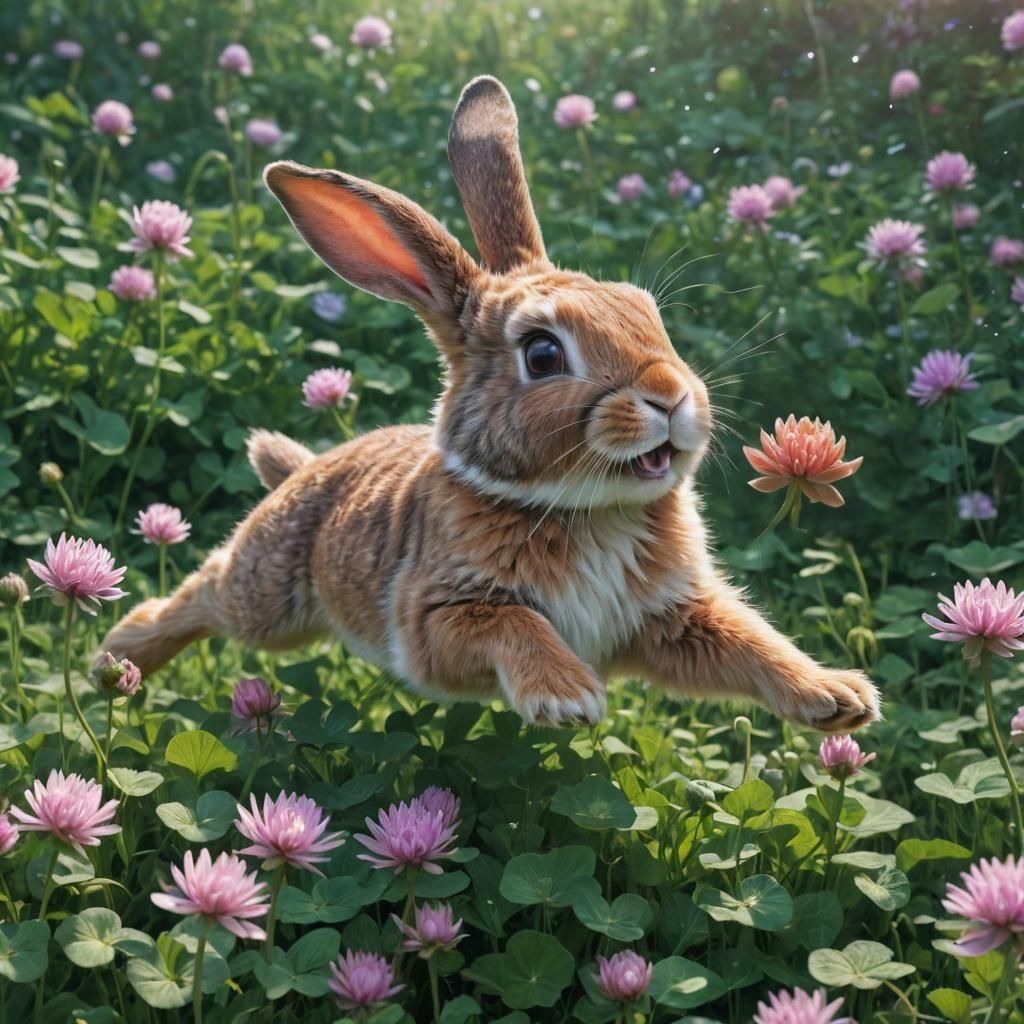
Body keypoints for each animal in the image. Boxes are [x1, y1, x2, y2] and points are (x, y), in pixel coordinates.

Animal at [100, 75, 880, 733]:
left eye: (647, 312)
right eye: (542, 355)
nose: (670, 395)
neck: (591, 512)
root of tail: (303, 471)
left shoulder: (671, 620)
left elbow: (750, 644)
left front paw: (836, 698)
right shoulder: (438, 616)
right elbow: (513, 626)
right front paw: (566, 699)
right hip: (268, 600)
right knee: (201, 592)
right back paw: (117, 655)